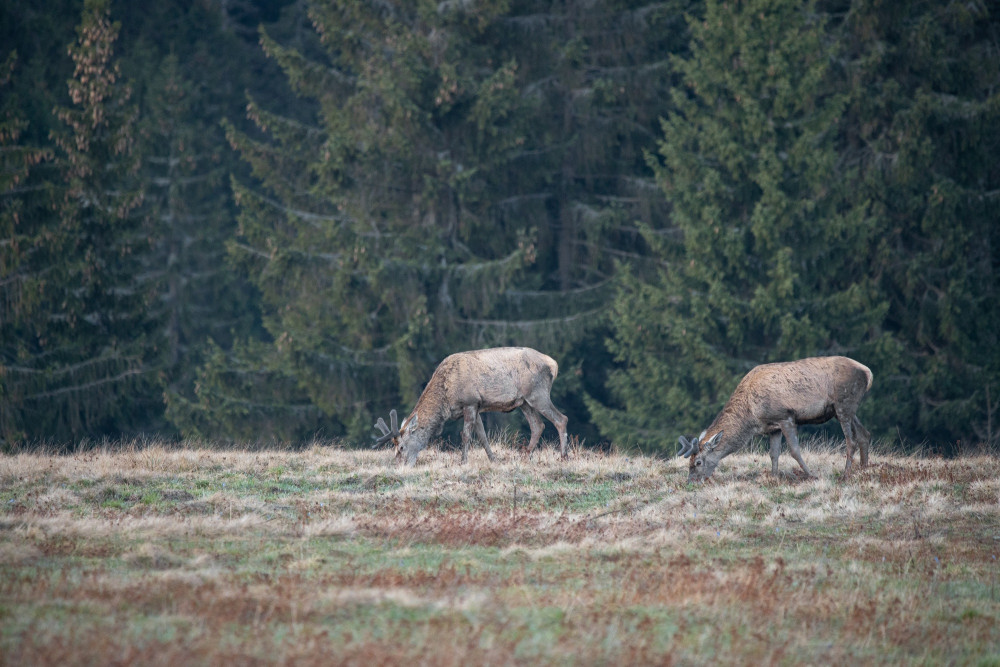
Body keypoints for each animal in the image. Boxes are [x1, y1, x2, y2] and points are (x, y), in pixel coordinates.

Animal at [372, 348, 568, 468]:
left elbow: (466, 435)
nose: (400, 466)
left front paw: (463, 461)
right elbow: (482, 436)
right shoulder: (477, 407)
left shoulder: (470, 402)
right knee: (538, 426)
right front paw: (494, 460)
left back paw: (563, 456)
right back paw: (525, 456)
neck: (446, 398)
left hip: (538, 394)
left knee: (561, 419)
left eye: (401, 447)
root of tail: (554, 364)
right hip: (525, 402)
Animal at [676, 358, 872, 482]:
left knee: (851, 440)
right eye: (689, 462)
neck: (750, 417)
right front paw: (774, 477)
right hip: (845, 409)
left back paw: (845, 475)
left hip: (844, 404)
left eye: (698, 462)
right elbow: (773, 453)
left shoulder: (785, 416)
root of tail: (868, 373)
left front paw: (811, 475)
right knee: (864, 434)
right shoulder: (773, 427)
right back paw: (864, 471)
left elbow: (794, 451)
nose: (691, 482)